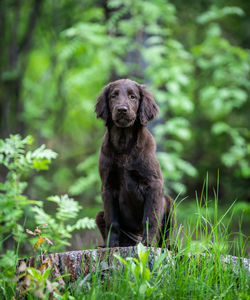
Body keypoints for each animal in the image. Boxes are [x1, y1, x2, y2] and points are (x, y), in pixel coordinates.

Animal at [94, 78, 175, 247]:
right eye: (113, 96)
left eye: (133, 97)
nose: (122, 110)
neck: (124, 143)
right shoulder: (107, 186)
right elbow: (112, 221)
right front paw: (111, 246)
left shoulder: (153, 184)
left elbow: (150, 218)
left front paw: (147, 244)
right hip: (99, 215)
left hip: (170, 203)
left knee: (164, 238)